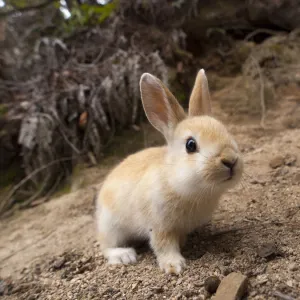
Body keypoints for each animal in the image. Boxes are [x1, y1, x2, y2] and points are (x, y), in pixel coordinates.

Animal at [96, 68, 244, 274]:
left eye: (226, 132)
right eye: (190, 145)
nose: (230, 160)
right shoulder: (159, 225)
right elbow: (163, 246)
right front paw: (174, 266)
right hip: (111, 226)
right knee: (106, 246)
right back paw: (124, 256)